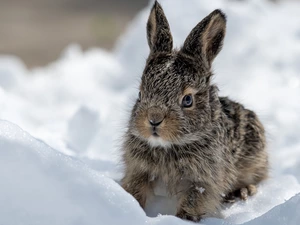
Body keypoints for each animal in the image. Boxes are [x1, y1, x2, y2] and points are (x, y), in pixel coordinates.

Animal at [120, 0, 268, 221]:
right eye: (140, 93)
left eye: (187, 100)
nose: (154, 120)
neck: (168, 146)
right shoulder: (138, 170)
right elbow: (136, 190)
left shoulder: (203, 181)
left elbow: (194, 201)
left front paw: (183, 219)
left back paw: (244, 191)